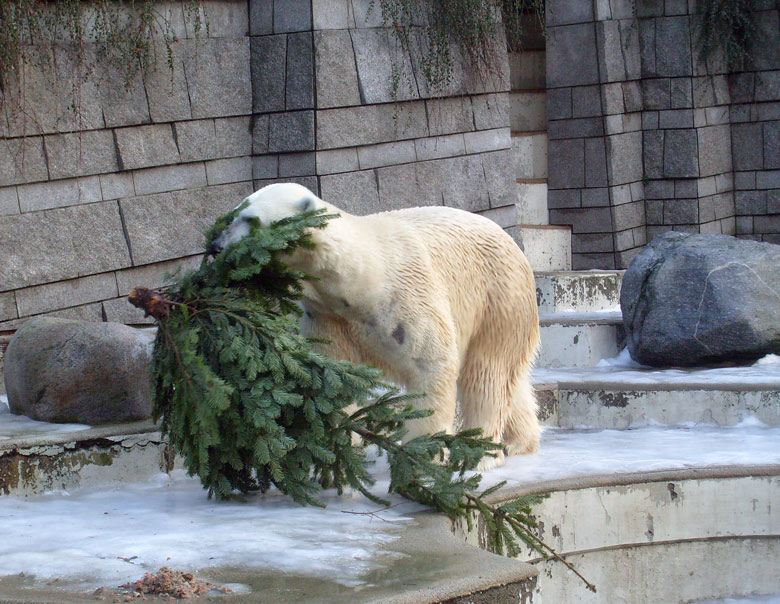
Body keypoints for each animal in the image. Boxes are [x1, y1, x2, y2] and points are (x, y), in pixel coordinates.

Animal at [213, 182, 544, 470]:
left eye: (250, 219)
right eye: (233, 214)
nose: (216, 246)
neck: (359, 280)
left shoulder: (407, 300)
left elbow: (431, 364)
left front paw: (422, 453)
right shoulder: (330, 319)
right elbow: (334, 378)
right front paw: (335, 451)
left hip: (498, 298)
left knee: (487, 374)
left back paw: (481, 453)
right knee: (508, 379)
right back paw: (518, 442)